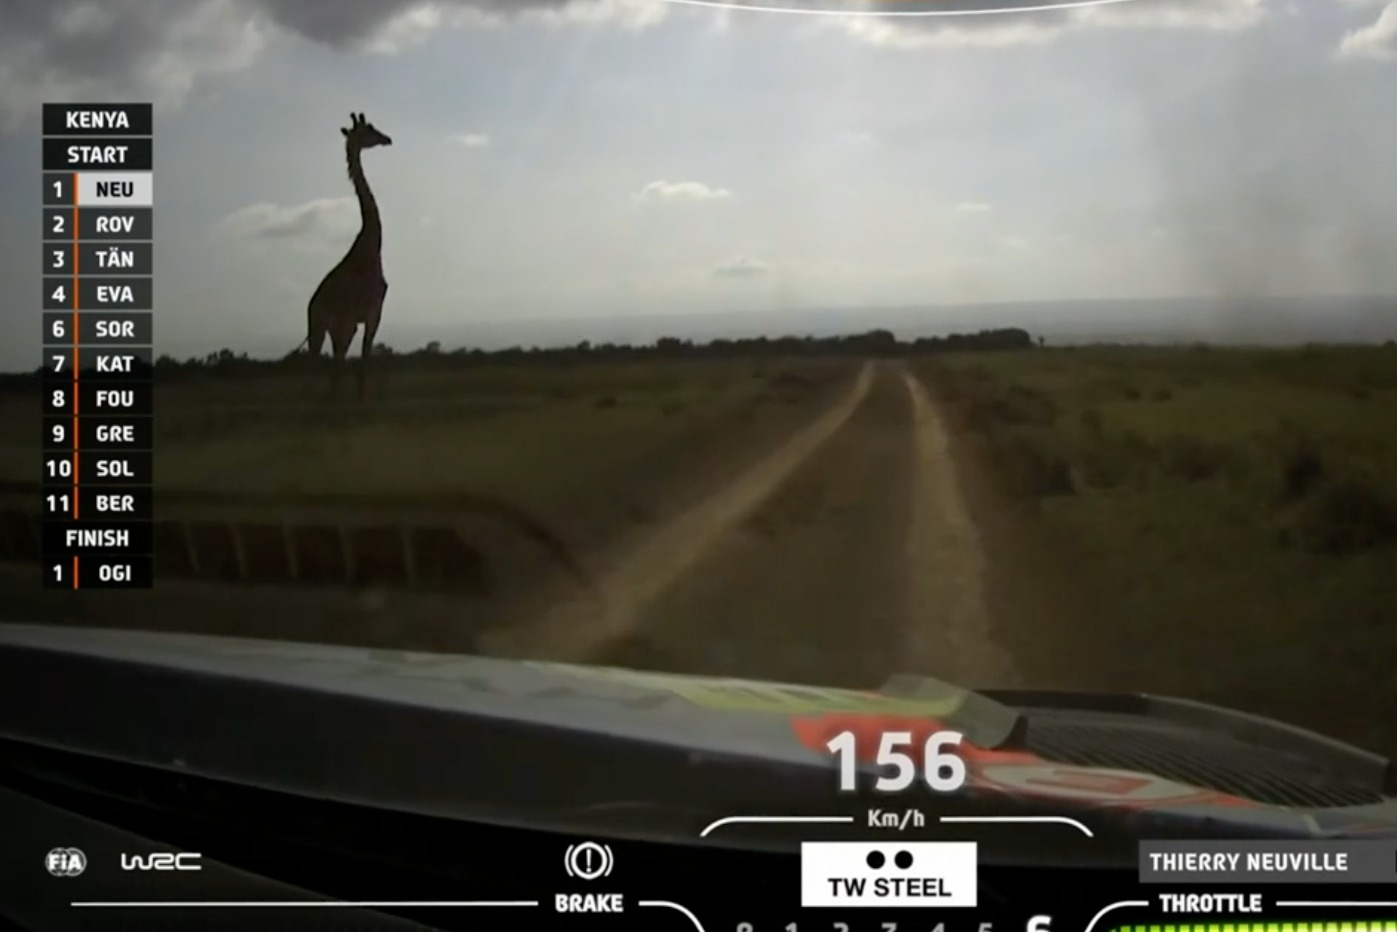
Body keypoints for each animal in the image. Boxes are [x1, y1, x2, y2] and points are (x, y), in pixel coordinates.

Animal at [305, 110, 393, 402]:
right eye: (370, 130)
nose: (388, 139)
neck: (371, 246)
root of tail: (311, 307)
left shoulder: (360, 320)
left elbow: (358, 367)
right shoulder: (372, 313)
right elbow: (362, 365)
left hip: (326, 329)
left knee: (327, 366)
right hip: (330, 327)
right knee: (326, 366)